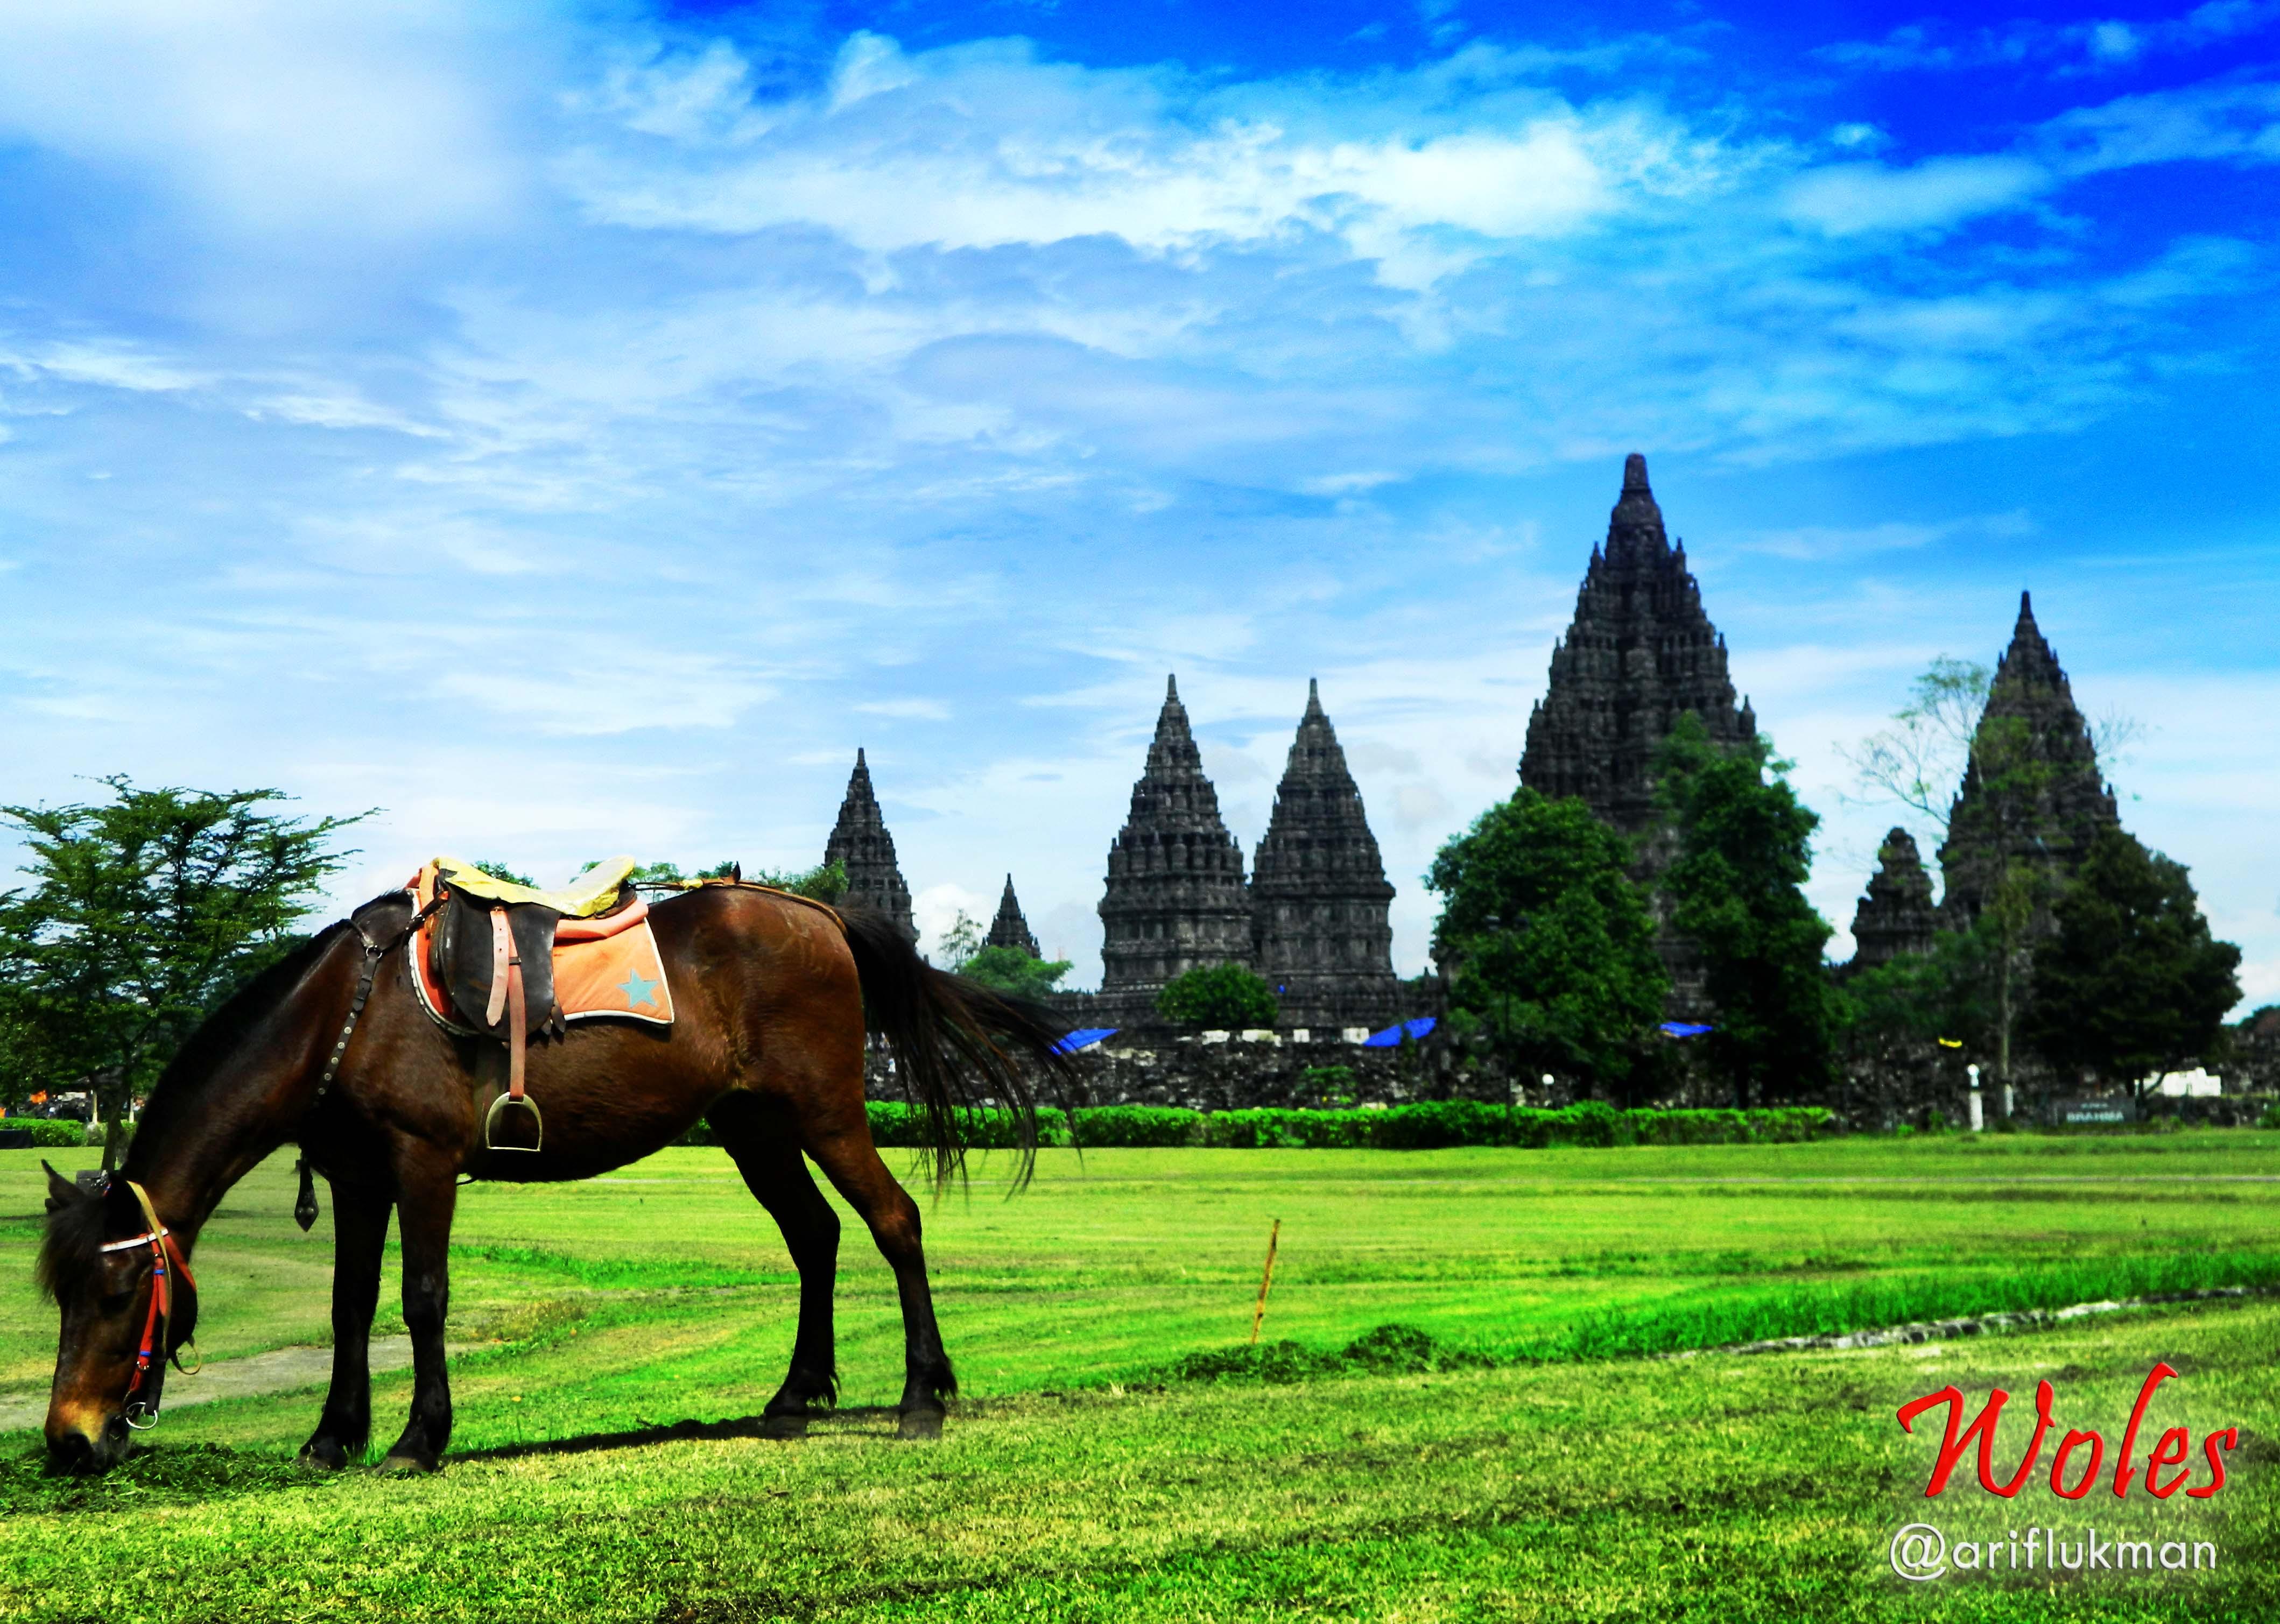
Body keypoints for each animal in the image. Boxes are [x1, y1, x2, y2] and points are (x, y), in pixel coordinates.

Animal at [38, 880, 1067, 1478]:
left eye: (121, 1290)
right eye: (61, 1294)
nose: (68, 1439)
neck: (350, 1011)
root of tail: (817, 911)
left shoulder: (422, 1163)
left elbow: (421, 1297)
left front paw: (417, 1438)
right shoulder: (359, 1180)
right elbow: (348, 1306)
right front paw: (333, 1435)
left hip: (826, 1111)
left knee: (895, 1220)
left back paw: (922, 1397)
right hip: (753, 1125)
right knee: (816, 1235)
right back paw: (793, 1395)